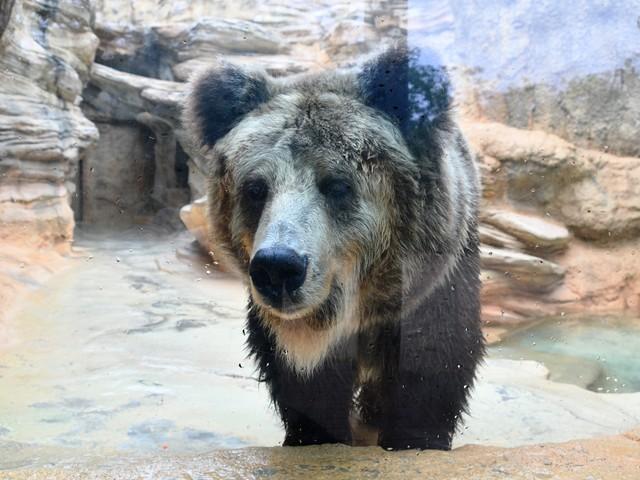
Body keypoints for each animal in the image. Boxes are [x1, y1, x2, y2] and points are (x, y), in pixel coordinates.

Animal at [182, 45, 482, 450]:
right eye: (256, 189)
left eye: (337, 185)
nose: (279, 267)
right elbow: (307, 382)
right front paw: (314, 434)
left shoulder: (430, 284)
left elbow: (435, 355)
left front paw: (414, 437)